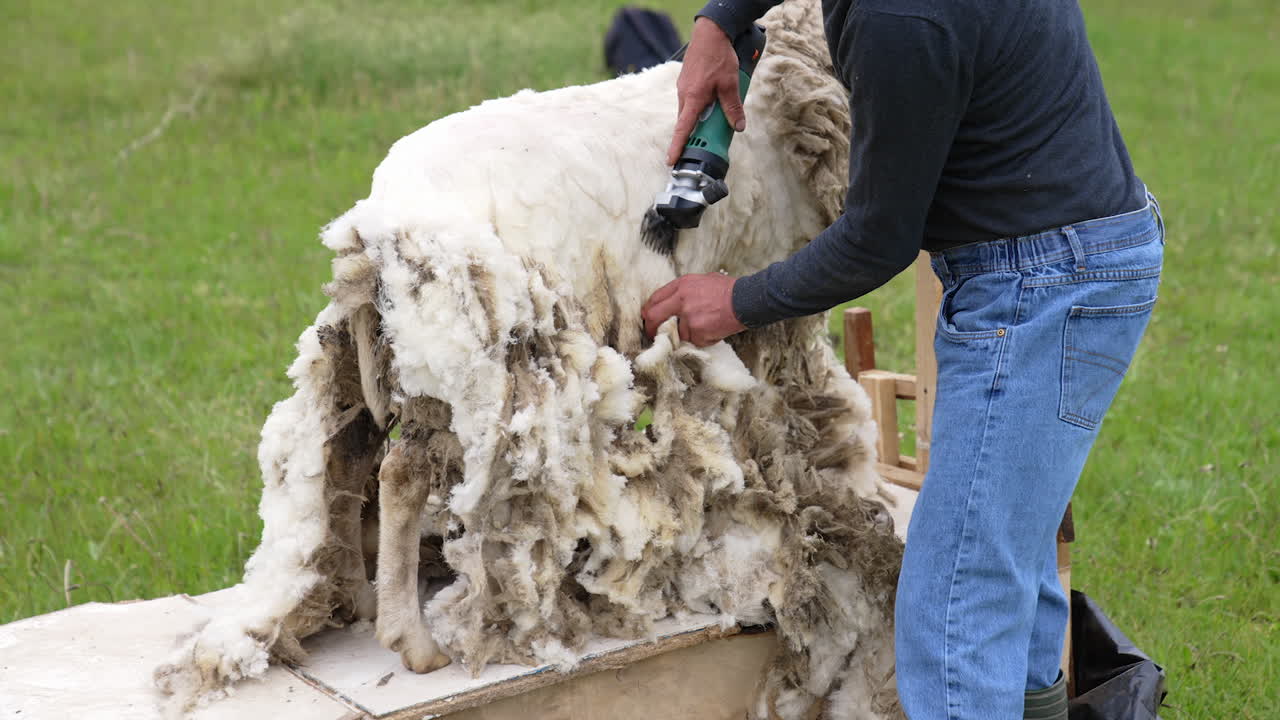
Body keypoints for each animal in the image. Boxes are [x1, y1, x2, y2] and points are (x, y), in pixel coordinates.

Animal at [154, 2, 905, 719]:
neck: (780, 100)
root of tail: (378, 234)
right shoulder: (761, 304)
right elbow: (766, 412)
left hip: (375, 361)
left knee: (355, 452)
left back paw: (363, 600)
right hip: (469, 361)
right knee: (402, 473)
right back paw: (412, 641)